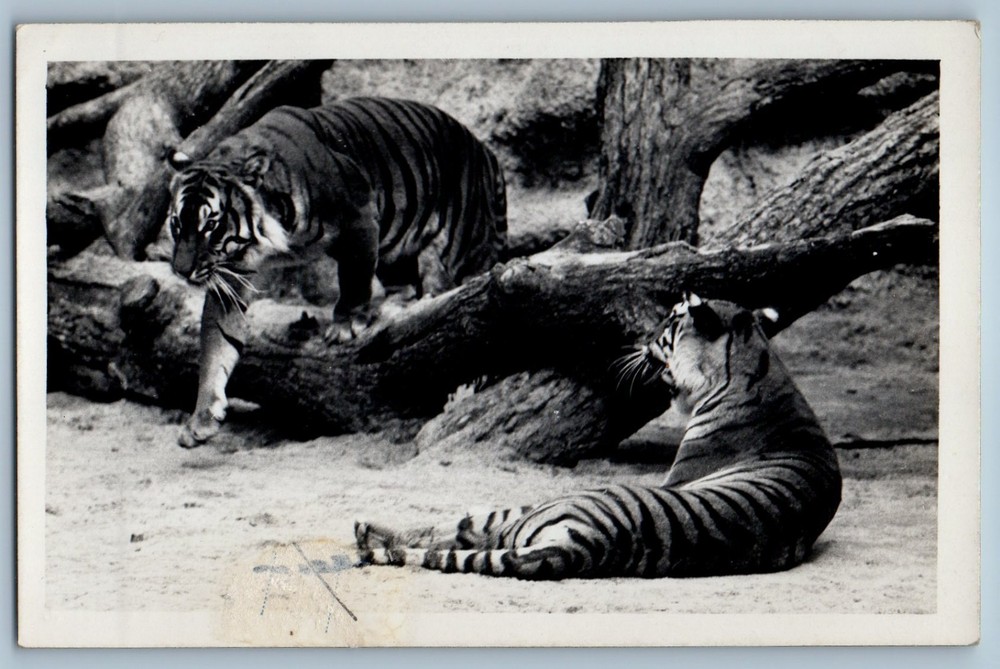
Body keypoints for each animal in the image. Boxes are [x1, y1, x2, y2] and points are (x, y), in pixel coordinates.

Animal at [166, 97, 508, 448]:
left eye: (211, 225)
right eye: (177, 223)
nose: (181, 270)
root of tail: (486, 153)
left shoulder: (359, 214)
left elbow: (354, 278)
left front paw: (345, 325)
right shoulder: (233, 275)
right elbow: (216, 344)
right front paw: (201, 419)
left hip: (463, 250)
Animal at [354, 293, 842, 579]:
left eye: (668, 326)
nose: (641, 340)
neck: (754, 370)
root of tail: (584, 545)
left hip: (542, 506)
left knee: (457, 527)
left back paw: (365, 531)